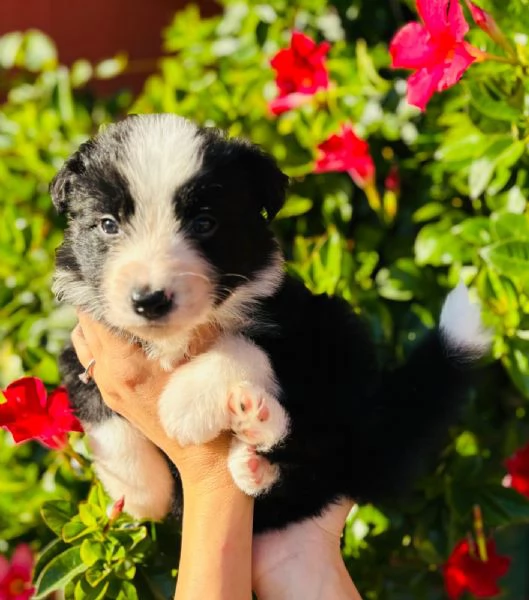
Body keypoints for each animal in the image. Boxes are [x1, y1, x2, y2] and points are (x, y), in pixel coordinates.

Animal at [51, 115, 488, 532]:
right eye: (108, 224)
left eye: (204, 223)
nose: (149, 300)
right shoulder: (84, 344)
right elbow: (98, 408)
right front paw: (141, 494)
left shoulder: (294, 320)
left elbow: (246, 347)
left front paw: (186, 403)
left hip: (342, 341)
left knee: (322, 459)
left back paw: (258, 434)